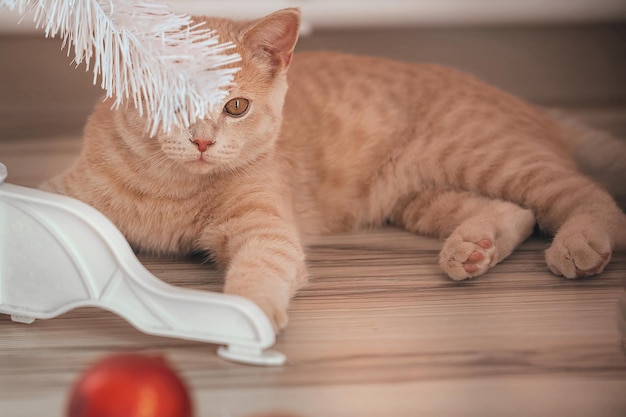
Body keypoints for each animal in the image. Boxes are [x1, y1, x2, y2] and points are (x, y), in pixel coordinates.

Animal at [41, 8, 620, 330]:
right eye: (171, 101)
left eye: (236, 107)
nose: (203, 141)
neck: (170, 186)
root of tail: (527, 105)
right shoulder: (64, 188)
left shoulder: (267, 229)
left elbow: (261, 269)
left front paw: (247, 313)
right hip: (421, 198)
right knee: (515, 211)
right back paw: (473, 247)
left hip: (489, 156)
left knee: (592, 200)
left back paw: (579, 244)